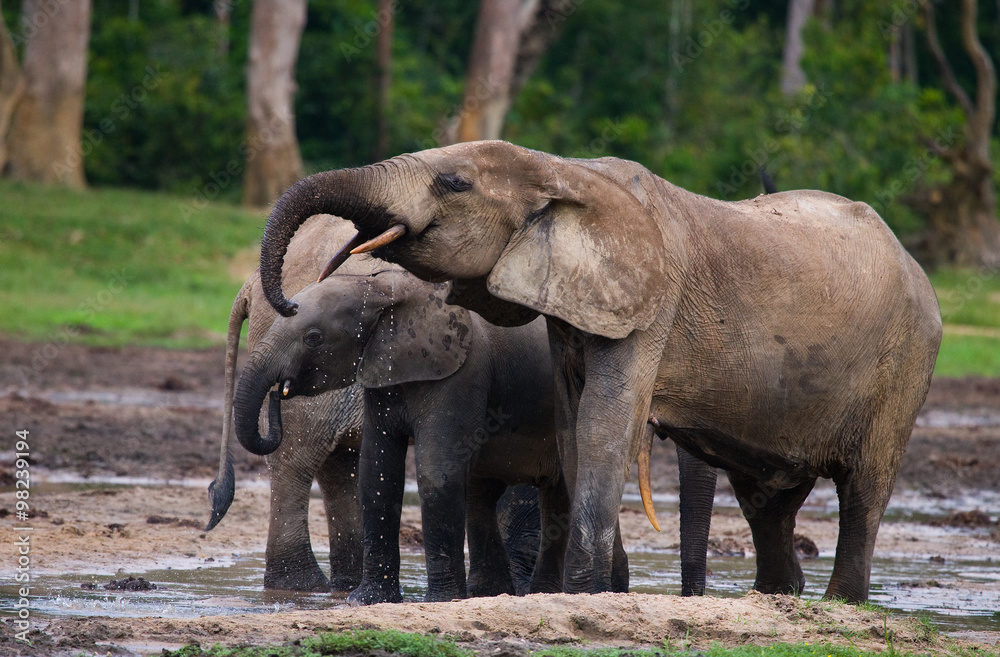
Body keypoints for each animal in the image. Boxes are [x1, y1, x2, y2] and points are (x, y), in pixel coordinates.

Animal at [206, 214, 366, 592]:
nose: (281, 390)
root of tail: (252, 281)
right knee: (299, 455)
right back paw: (304, 585)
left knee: (338, 463)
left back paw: (347, 585)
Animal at [231, 260, 614, 605]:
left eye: (313, 338)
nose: (280, 391)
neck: (385, 289)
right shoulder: (381, 369)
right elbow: (377, 471)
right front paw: (366, 601)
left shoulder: (462, 372)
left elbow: (436, 470)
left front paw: (440, 601)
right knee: (484, 493)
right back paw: (491, 593)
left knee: (558, 492)